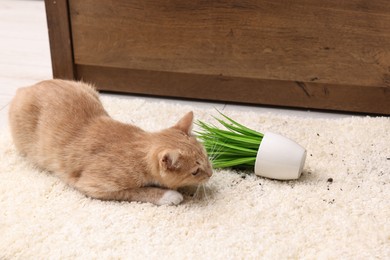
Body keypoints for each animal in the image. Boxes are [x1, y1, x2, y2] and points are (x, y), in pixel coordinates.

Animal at [7, 80, 212, 206]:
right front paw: (169, 195)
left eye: (206, 157)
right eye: (195, 171)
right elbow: (138, 191)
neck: (138, 146)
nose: (210, 173)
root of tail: (24, 89)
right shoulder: (95, 187)